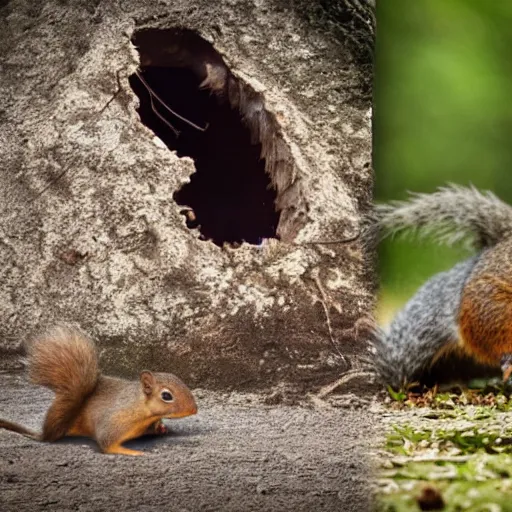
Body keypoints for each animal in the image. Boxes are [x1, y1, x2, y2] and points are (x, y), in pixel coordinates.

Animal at [0, 324, 198, 456]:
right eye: (166, 395)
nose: (194, 409)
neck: (141, 408)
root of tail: (47, 432)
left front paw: (162, 428)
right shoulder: (114, 420)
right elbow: (107, 444)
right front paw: (132, 452)